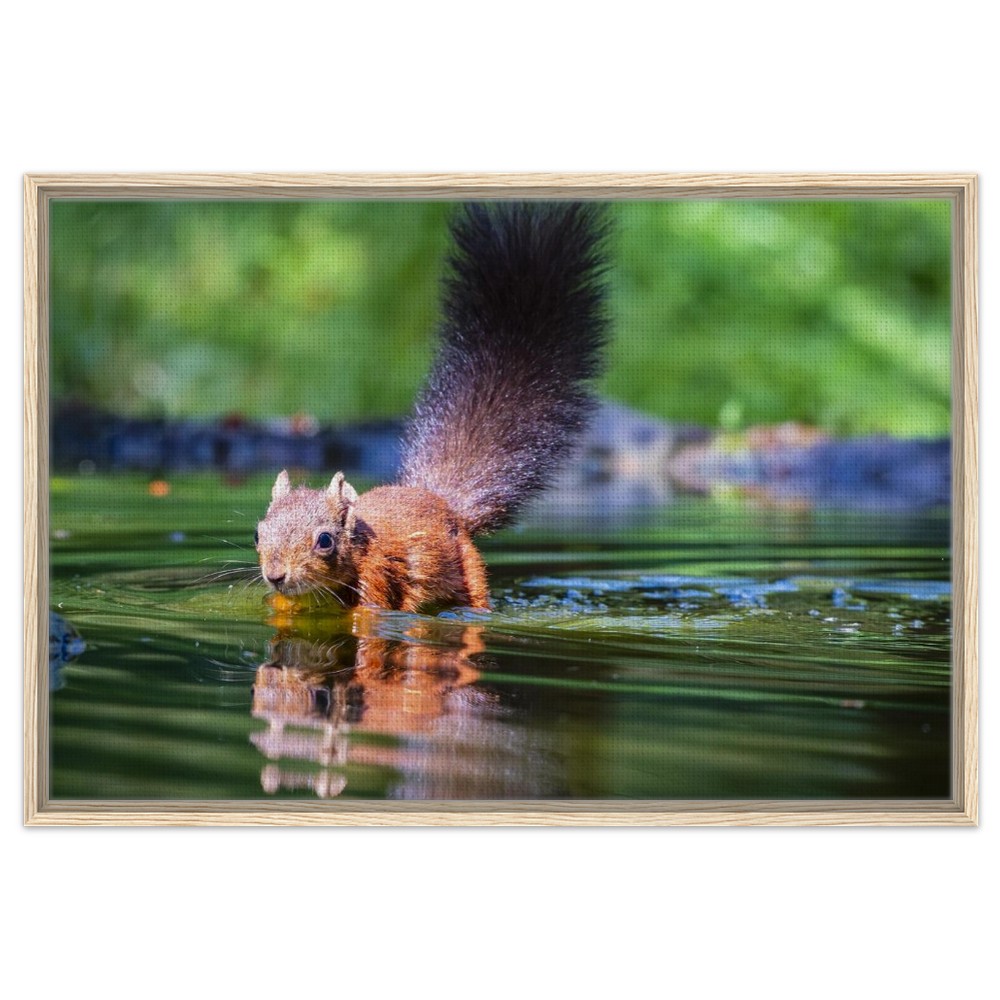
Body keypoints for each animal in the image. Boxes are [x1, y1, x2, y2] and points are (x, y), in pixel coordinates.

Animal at [255, 202, 609, 613]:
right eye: (257, 534)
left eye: (325, 540)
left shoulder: (377, 575)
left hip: (469, 566)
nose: (276, 576)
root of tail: (442, 501)